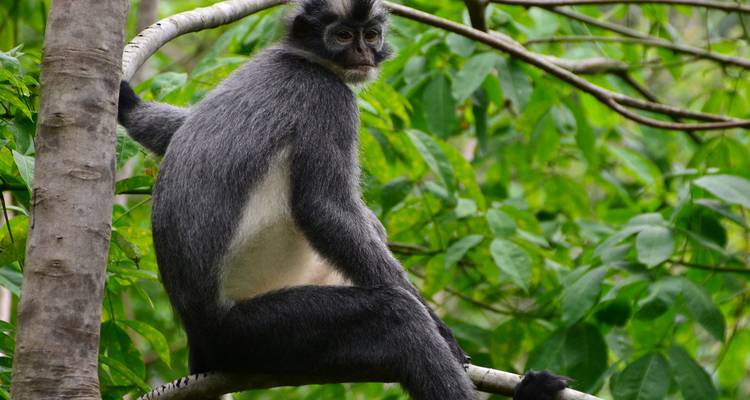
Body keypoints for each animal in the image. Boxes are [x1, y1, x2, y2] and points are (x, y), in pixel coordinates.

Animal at [117, 0, 569, 399]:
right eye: (343, 36)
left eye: (371, 35)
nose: (363, 53)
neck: (302, 60)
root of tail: (199, 334)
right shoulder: (327, 99)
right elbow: (324, 209)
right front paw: (441, 331)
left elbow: (176, 130)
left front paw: (128, 104)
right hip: (256, 331)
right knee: (395, 318)